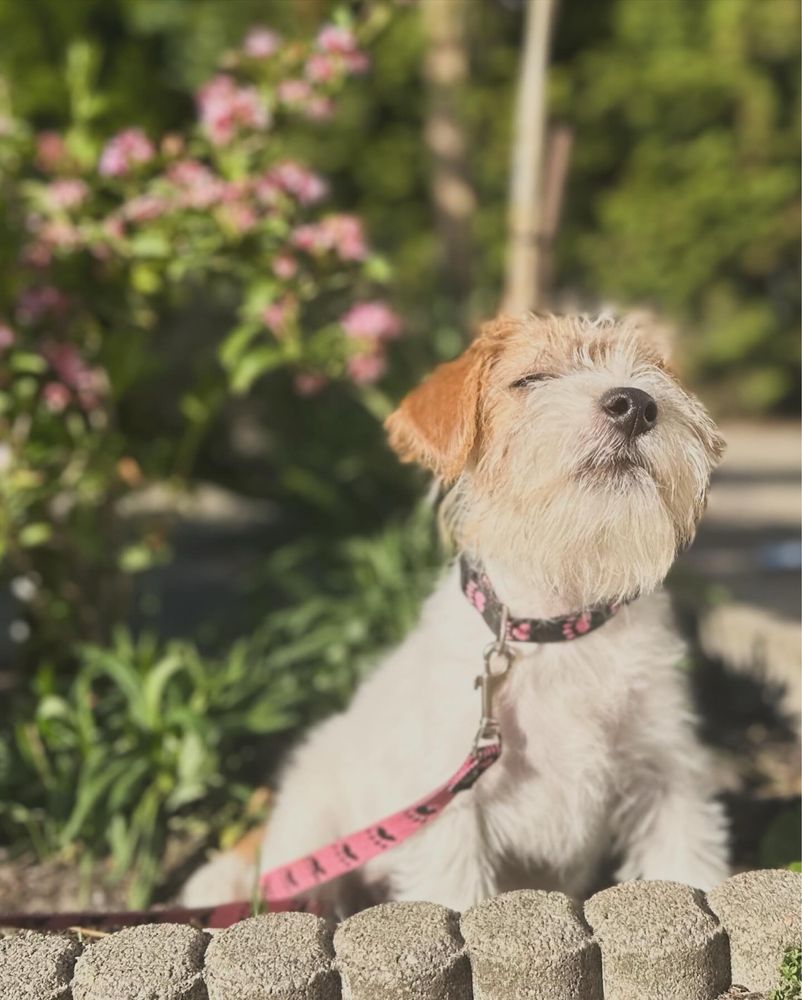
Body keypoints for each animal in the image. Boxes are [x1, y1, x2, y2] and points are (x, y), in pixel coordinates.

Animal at [183, 312, 732, 916]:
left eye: (653, 373)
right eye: (531, 379)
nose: (636, 403)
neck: (559, 624)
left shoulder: (668, 782)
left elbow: (688, 868)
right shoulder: (451, 815)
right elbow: (455, 896)